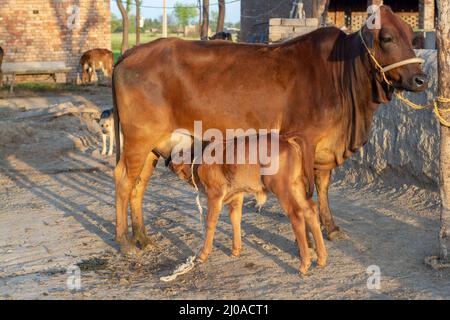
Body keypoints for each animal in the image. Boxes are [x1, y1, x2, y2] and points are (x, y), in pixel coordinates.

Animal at [167, 134, 326, 274]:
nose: (170, 164)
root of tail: (286, 139)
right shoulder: (237, 195)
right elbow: (235, 218)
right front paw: (236, 250)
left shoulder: (214, 195)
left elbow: (210, 222)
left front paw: (203, 254)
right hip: (296, 186)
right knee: (310, 210)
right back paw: (321, 258)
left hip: (283, 190)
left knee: (297, 215)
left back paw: (304, 264)